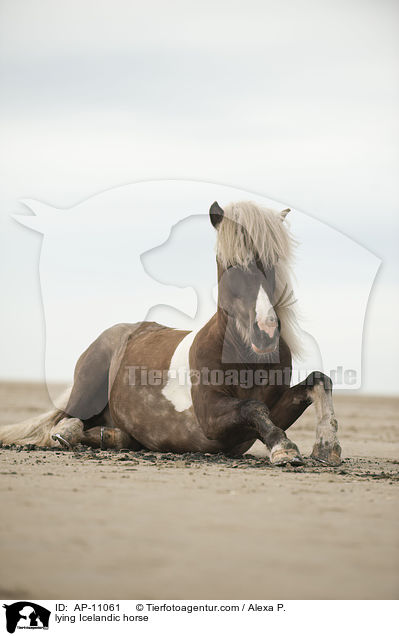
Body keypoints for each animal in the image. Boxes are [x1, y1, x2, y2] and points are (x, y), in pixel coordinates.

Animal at [1, 201, 342, 464]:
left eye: (273, 262)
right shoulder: (210, 418)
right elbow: (253, 407)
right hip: (87, 390)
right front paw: (285, 449)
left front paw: (327, 447)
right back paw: (74, 434)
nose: (266, 332)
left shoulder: (273, 411)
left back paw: (112, 436)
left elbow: (318, 381)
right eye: (230, 264)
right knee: (63, 425)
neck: (242, 356)